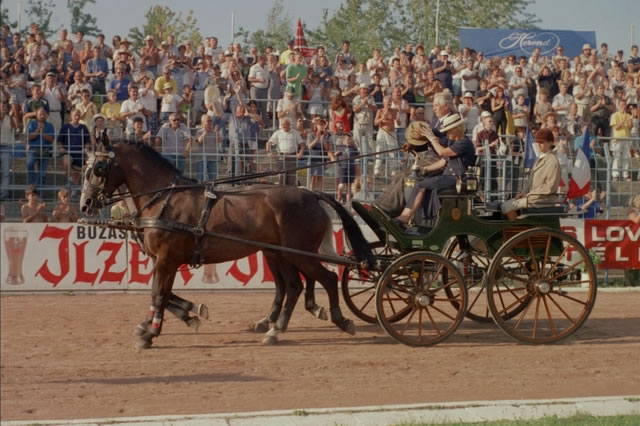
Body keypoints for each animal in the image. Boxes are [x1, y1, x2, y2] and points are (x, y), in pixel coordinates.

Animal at [80, 139, 373, 349]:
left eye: (98, 169)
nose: (86, 203)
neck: (164, 199)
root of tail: (310, 194)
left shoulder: (166, 259)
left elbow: (159, 294)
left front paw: (151, 333)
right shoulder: (161, 260)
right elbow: (162, 293)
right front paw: (186, 314)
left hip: (298, 254)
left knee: (325, 279)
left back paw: (338, 320)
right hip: (281, 253)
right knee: (292, 286)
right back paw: (275, 328)